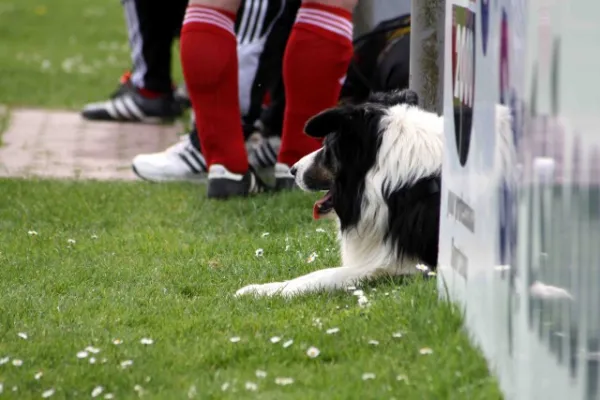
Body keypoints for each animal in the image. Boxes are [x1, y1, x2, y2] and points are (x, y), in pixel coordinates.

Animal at [236, 90, 516, 296]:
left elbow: (325, 274)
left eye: (327, 147)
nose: (293, 169)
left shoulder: (409, 264)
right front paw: (259, 289)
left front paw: (267, 291)